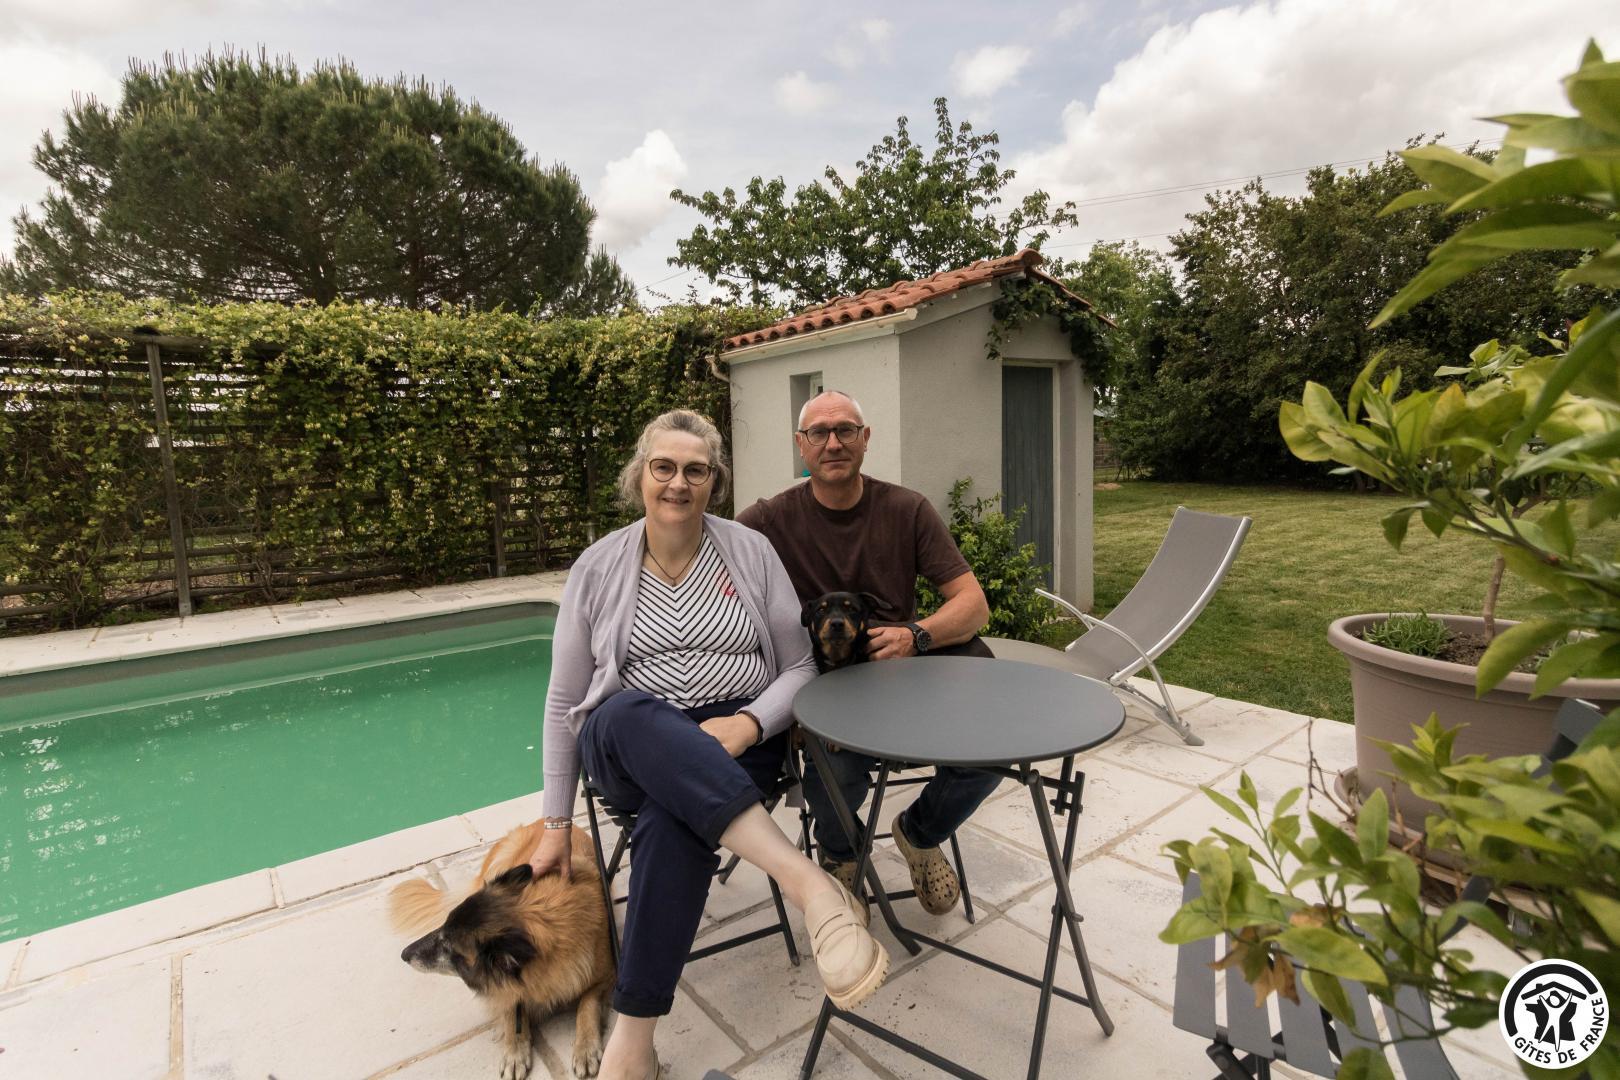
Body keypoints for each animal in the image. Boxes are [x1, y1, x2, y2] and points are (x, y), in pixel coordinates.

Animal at [390, 823, 613, 1080]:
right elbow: (509, 1007)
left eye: (448, 945)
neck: (542, 917)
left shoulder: (604, 976)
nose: (404, 954)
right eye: (443, 927)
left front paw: (585, 1047)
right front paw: (515, 1050)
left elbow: (587, 1005)